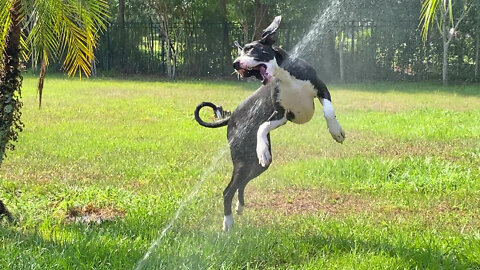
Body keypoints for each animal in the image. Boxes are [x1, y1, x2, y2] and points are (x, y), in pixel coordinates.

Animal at [194, 15, 344, 231]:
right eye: (240, 51)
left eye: (250, 49)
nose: (235, 63)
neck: (284, 76)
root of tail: (231, 117)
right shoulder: (281, 113)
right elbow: (262, 127)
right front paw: (262, 148)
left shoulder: (318, 90)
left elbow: (329, 111)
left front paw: (336, 130)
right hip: (241, 162)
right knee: (228, 190)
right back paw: (227, 221)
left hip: (255, 165)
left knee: (241, 184)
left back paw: (239, 206)